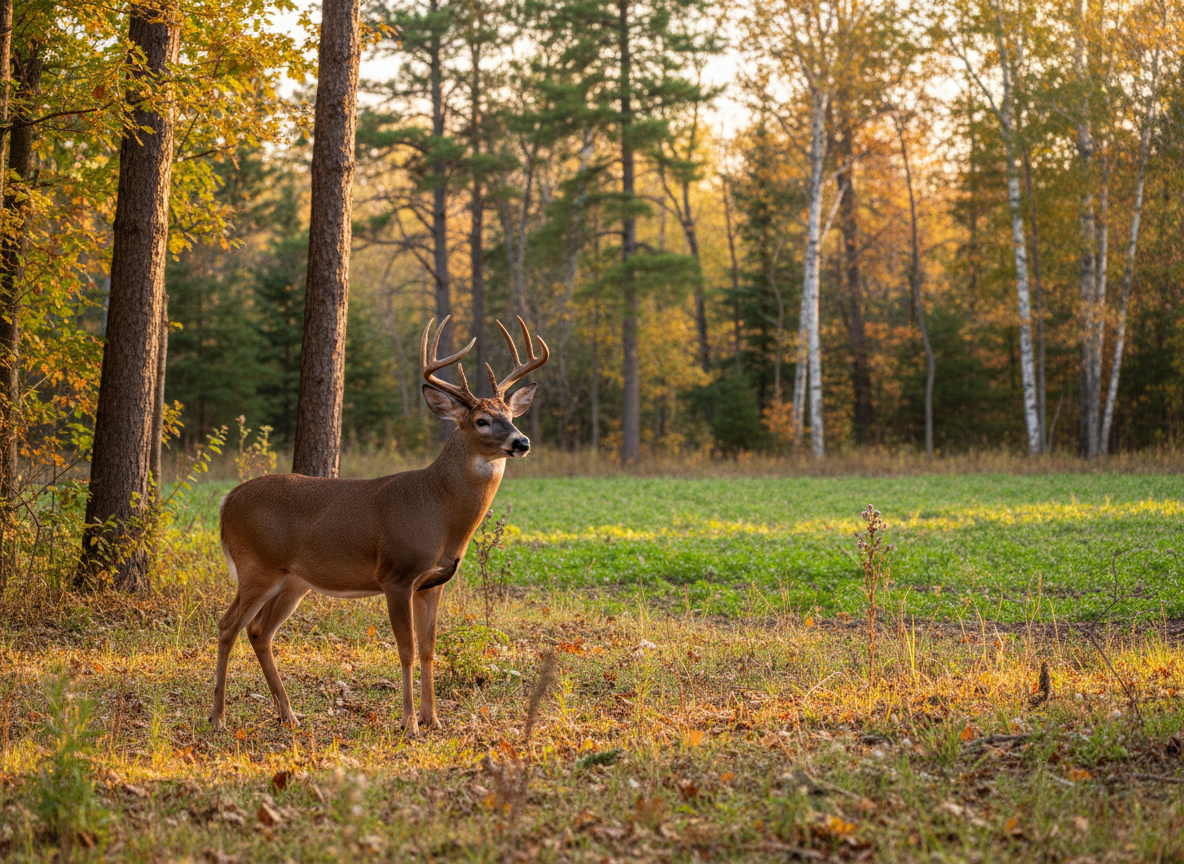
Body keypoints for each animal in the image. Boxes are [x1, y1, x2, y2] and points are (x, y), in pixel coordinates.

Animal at [210, 315, 548, 734]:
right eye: (482, 420)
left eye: (512, 417)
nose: (522, 442)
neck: (438, 510)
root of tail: (226, 502)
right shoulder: (396, 575)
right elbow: (405, 650)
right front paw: (410, 723)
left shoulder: (433, 583)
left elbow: (428, 650)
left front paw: (434, 720)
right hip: (256, 565)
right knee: (228, 626)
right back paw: (219, 717)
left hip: (293, 581)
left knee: (258, 631)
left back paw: (288, 714)